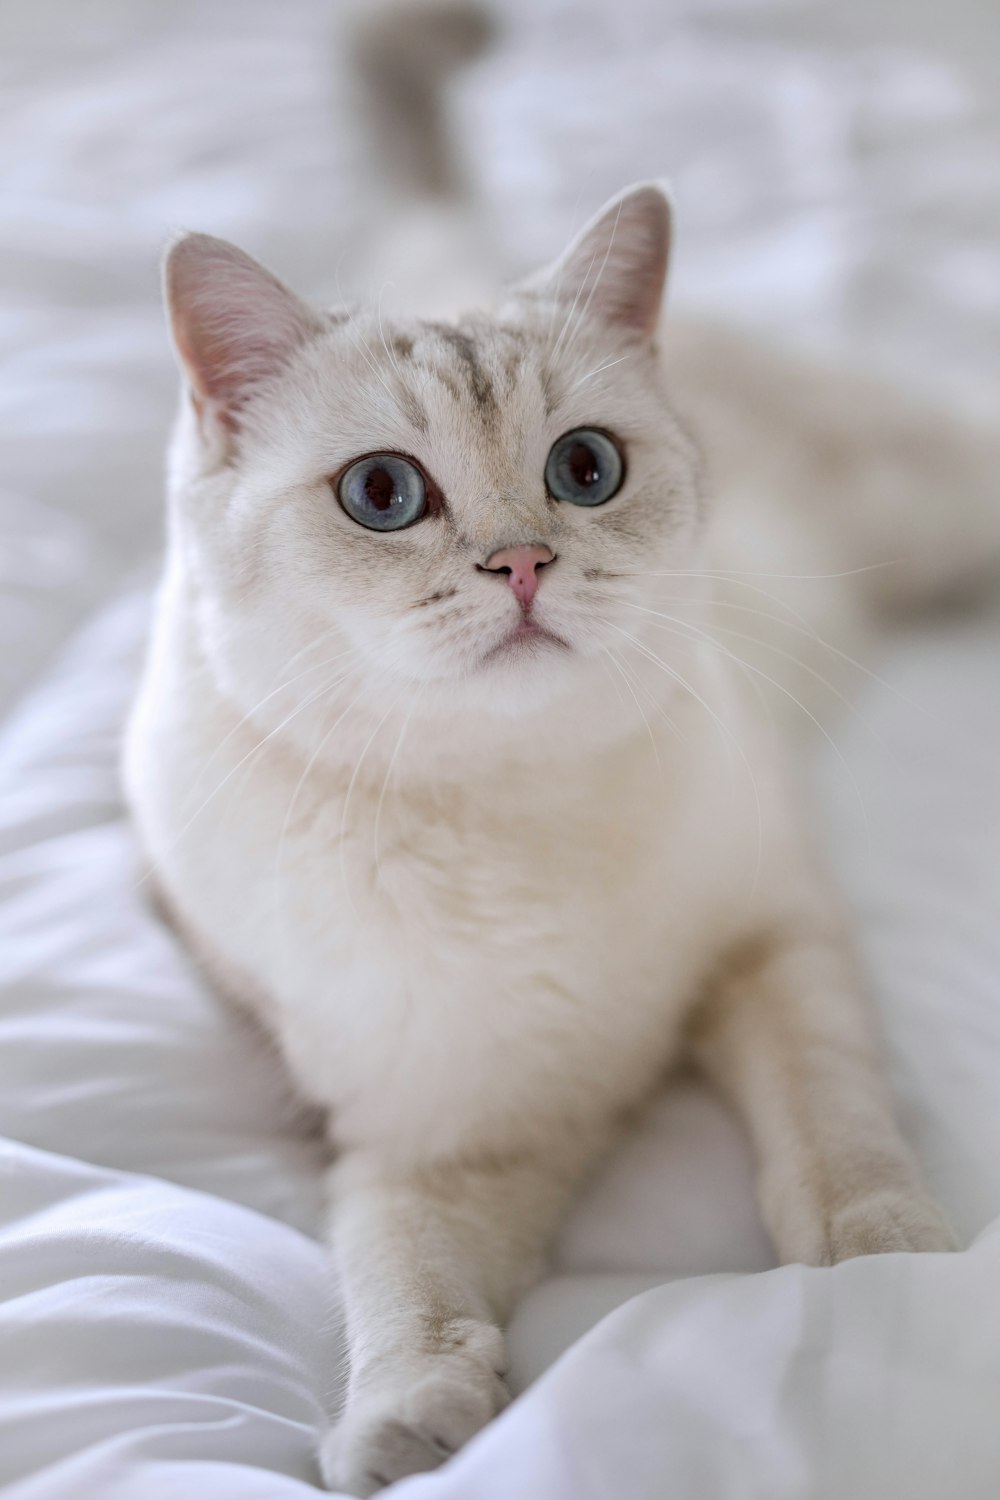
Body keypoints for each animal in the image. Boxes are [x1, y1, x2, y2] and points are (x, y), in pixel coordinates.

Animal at [119, 2, 1000, 1488]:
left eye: (586, 471)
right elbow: (397, 1273)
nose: (521, 563)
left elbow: (831, 1119)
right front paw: (408, 1421)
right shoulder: (443, 1133)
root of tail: (444, 243)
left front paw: (880, 1256)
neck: (511, 813)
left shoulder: (773, 940)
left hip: (940, 505)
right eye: (381, 494)